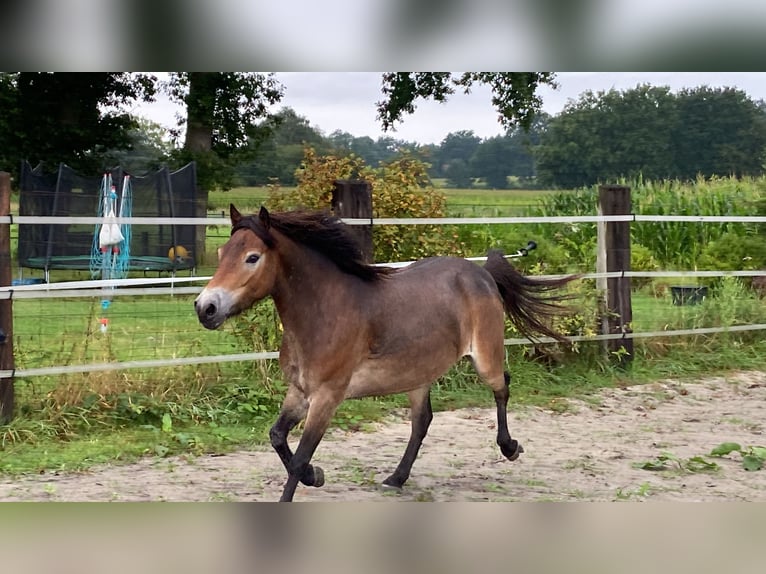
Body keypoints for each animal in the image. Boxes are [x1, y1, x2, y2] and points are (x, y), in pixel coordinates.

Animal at [198, 207, 576, 504]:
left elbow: (300, 456)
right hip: (418, 373)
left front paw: (307, 477)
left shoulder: (327, 397)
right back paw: (397, 478)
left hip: (484, 359)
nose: (205, 308)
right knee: (422, 421)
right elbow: (277, 437)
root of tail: (481, 272)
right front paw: (316, 476)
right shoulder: (300, 391)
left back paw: (510, 447)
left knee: (502, 386)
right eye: (221, 252)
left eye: (252, 257)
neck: (325, 312)